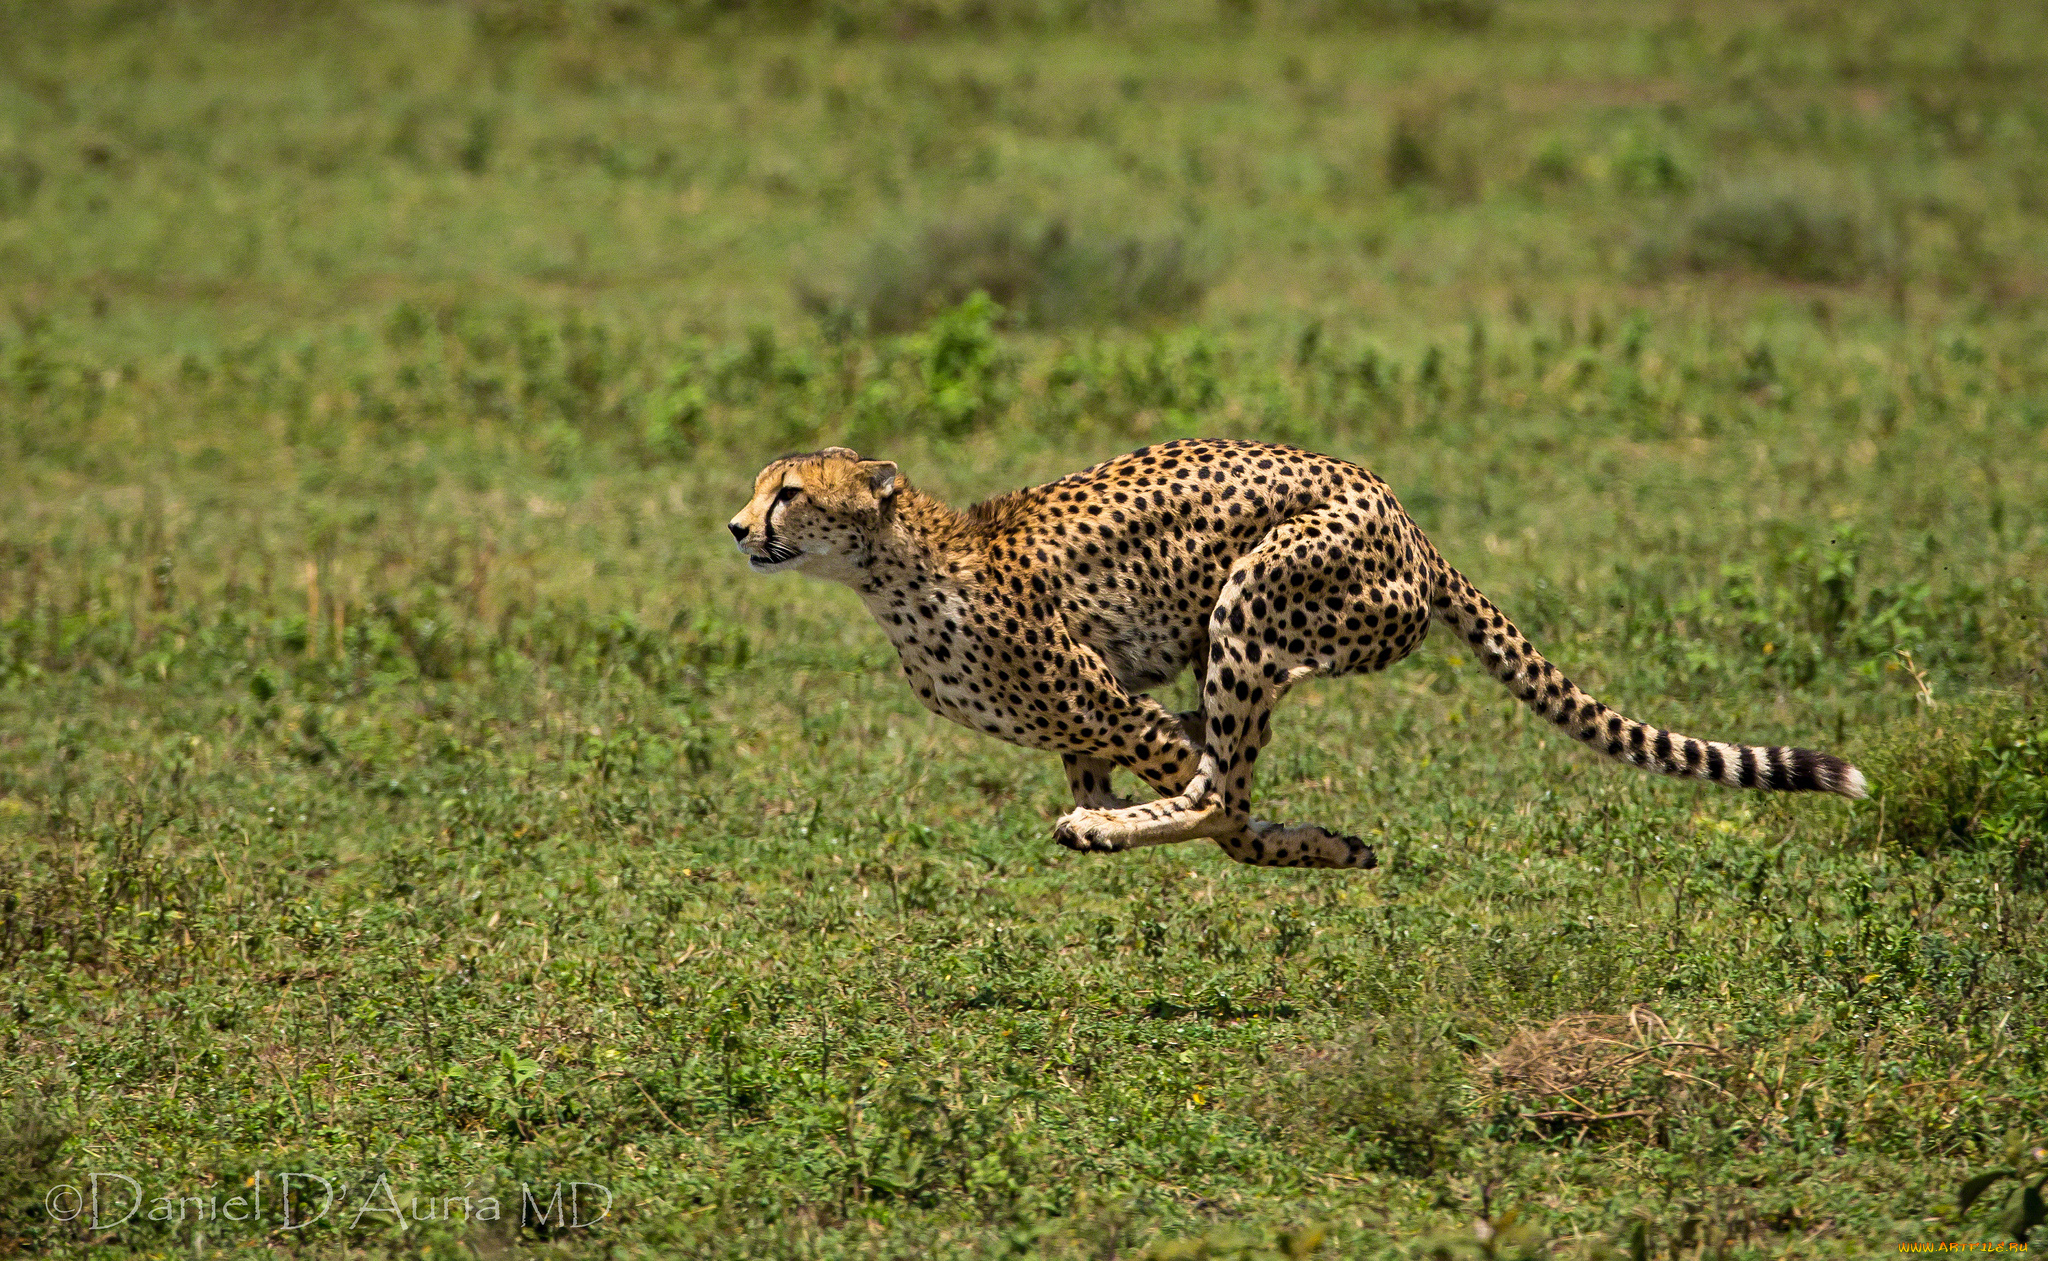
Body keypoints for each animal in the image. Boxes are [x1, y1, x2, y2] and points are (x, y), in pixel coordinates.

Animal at [729, 440, 1867, 867]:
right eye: (760, 485)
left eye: (788, 491)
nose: (737, 528)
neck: (889, 570)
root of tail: (1402, 511)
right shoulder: (1085, 725)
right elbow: (1182, 783)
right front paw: (1321, 840)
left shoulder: (1122, 706)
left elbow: (1217, 799)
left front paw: (1267, 837)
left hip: (1253, 602)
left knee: (1221, 788)